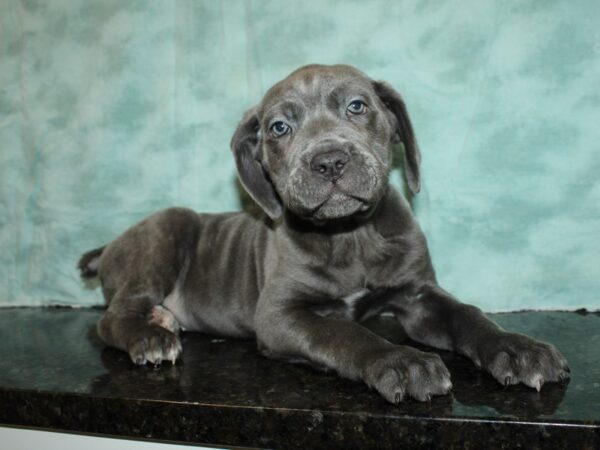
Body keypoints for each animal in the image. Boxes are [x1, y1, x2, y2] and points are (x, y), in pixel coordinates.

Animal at [78, 64, 568, 404]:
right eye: (279, 127)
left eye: (357, 106)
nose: (329, 161)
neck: (350, 236)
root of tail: (109, 247)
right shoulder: (279, 315)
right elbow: (343, 333)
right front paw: (402, 361)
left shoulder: (418, 297)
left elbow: (468, 315)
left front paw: (518, 348)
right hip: (168, 227)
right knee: (111, 316)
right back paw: (150, 337)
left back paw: (162, 320)